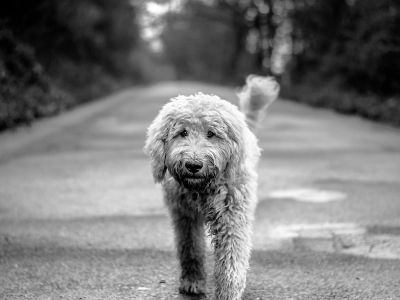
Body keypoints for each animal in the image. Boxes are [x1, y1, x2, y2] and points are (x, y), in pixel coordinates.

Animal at [144, 75, 278, 300]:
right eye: (182, 132)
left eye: (211, 134)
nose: (193, 165)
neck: (202, 188)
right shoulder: (184, 216)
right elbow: (191, 248)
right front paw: (192, 281)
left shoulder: (232, 216)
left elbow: (231, 258)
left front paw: (228, 293)